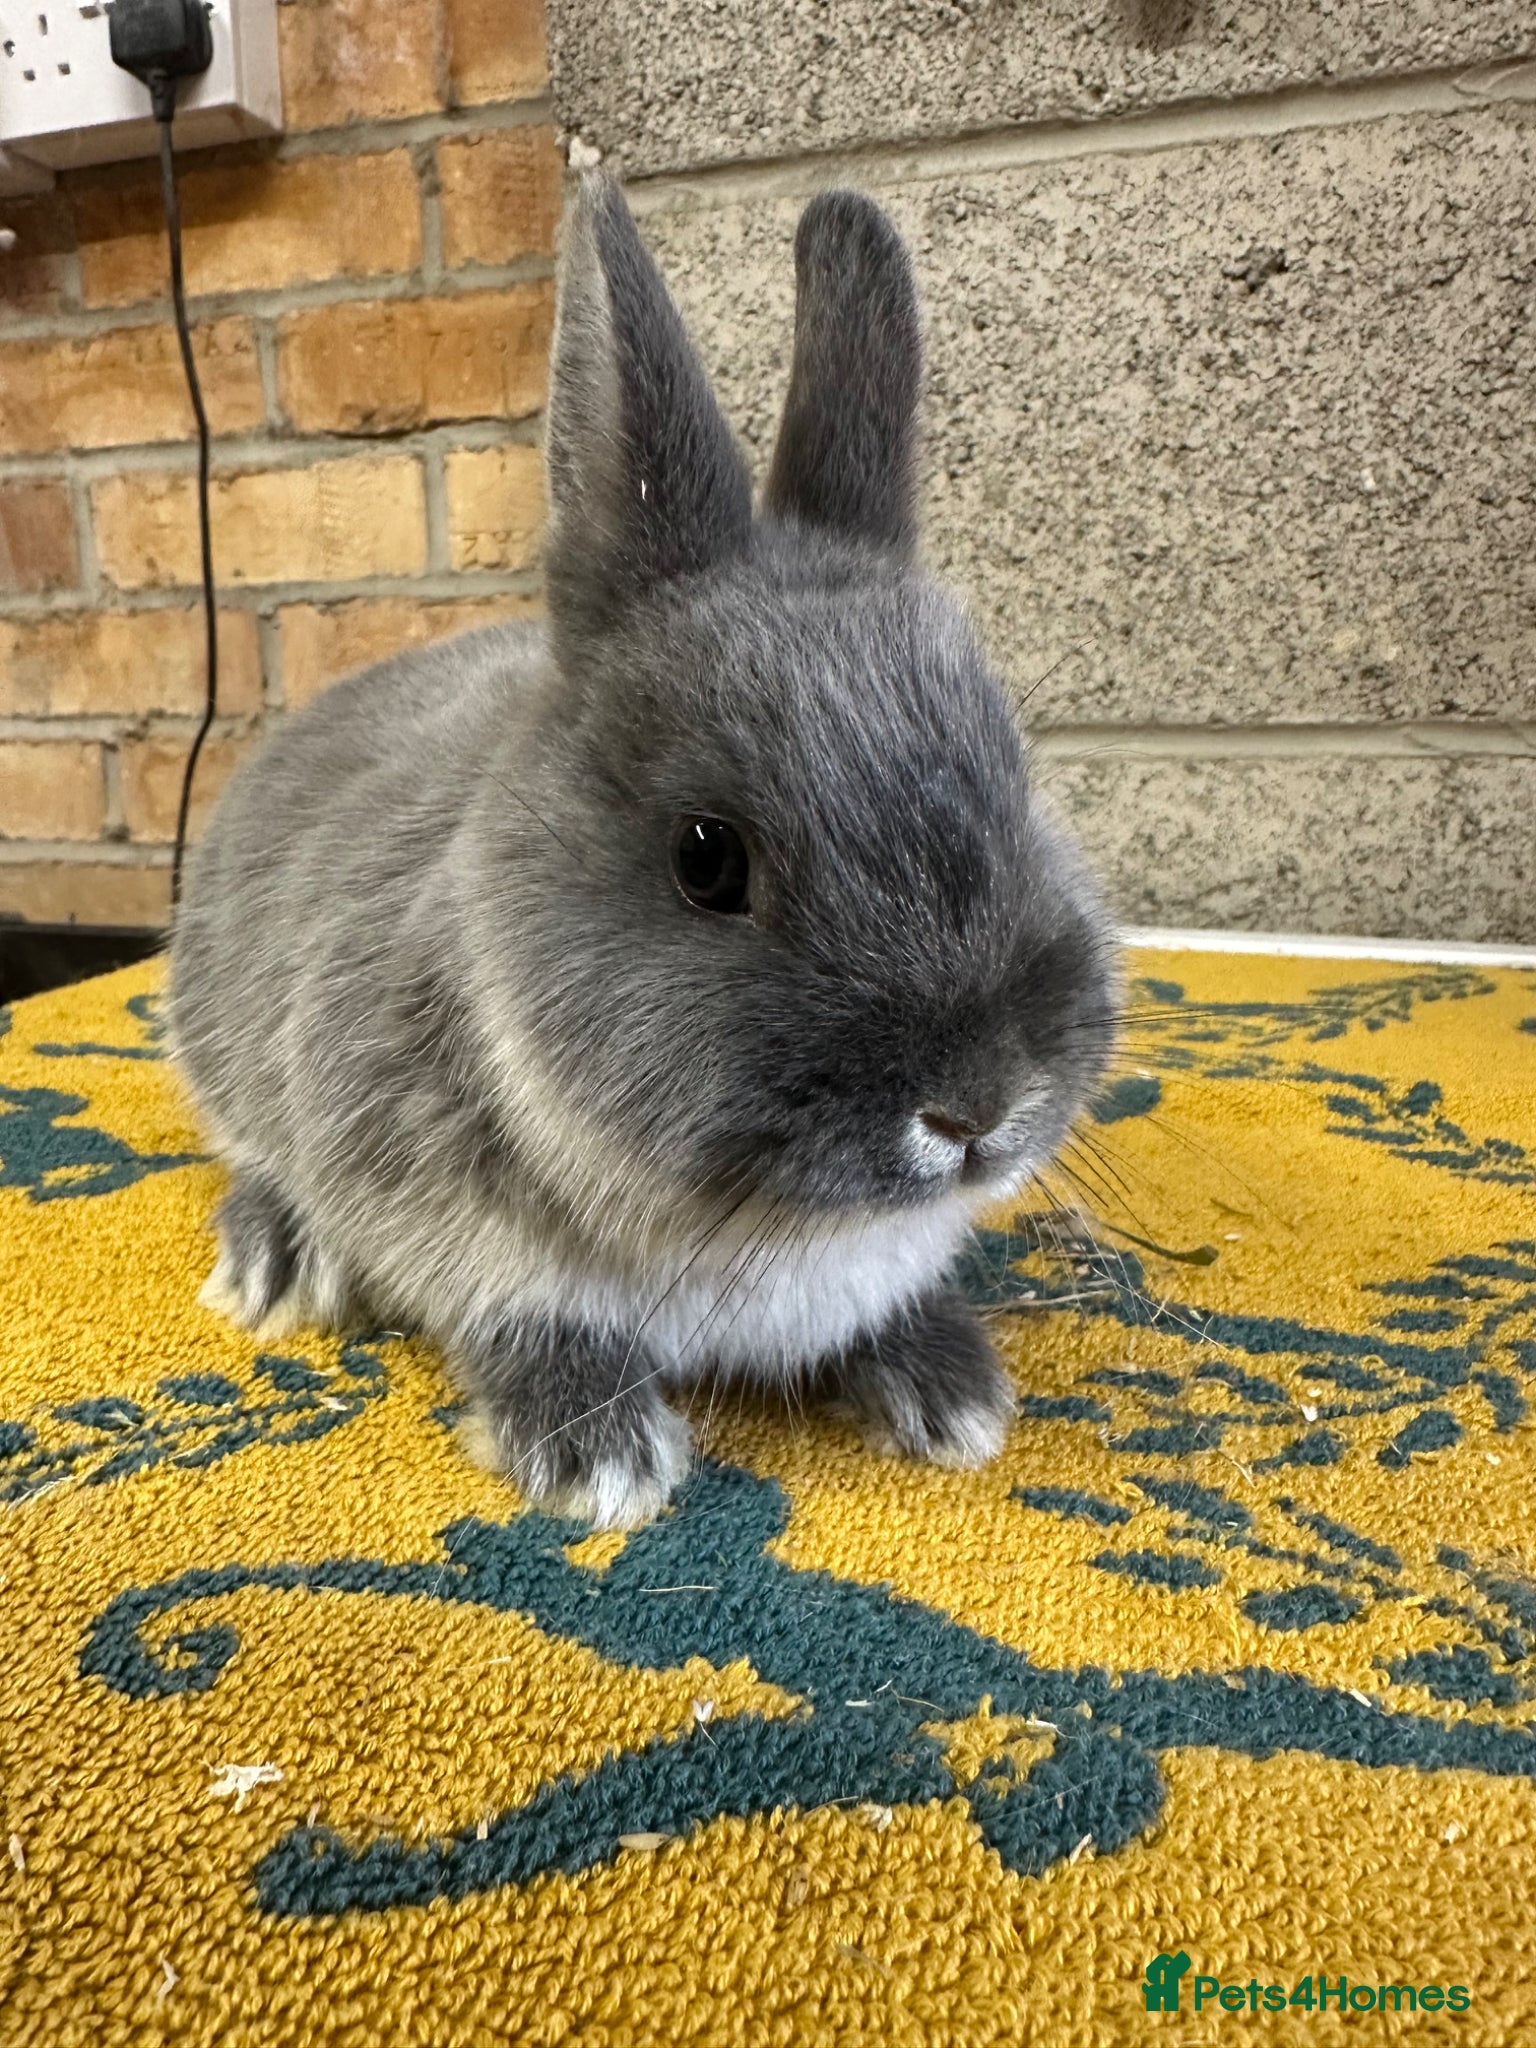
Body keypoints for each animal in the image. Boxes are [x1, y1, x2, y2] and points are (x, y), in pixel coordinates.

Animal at [168, 174, 1119, 1529]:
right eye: (708, 858)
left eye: (1020, 780)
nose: (978, 1108)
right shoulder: (437, 1199)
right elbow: (525, 1316)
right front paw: (600, 1458)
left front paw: (954, 1395)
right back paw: (274, 1261)